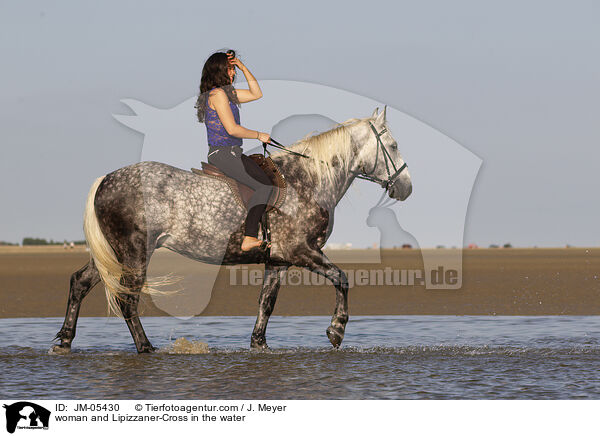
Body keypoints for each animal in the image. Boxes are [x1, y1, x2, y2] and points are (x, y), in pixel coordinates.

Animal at [51, 106, 410, 354]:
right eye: (392, 146)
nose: (406, 187)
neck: (307, 182)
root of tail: (107, 179)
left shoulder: (278, 260)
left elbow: (267, 302)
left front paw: (259, 345)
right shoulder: (301, 251)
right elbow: (342, 278)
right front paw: (336, 330)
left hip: (114, 252)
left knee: (80, 282)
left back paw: (64, 342)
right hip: (135, 251)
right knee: (127, 299)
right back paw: (145, 347)